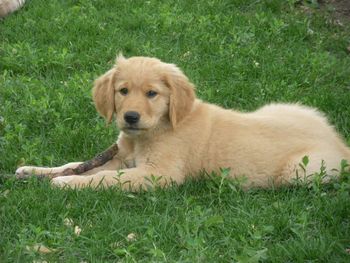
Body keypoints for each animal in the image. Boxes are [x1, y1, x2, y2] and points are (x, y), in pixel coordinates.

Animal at [15, 55, 350, 190]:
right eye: (123, 91)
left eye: (152, 93)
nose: (130, 117)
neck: (151, 131)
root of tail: (340, 144)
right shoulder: (121, 157)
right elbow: (76, 163)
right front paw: (33, 171)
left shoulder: (159, 174)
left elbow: (106, 179)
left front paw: (67, 184)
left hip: (300, 171)